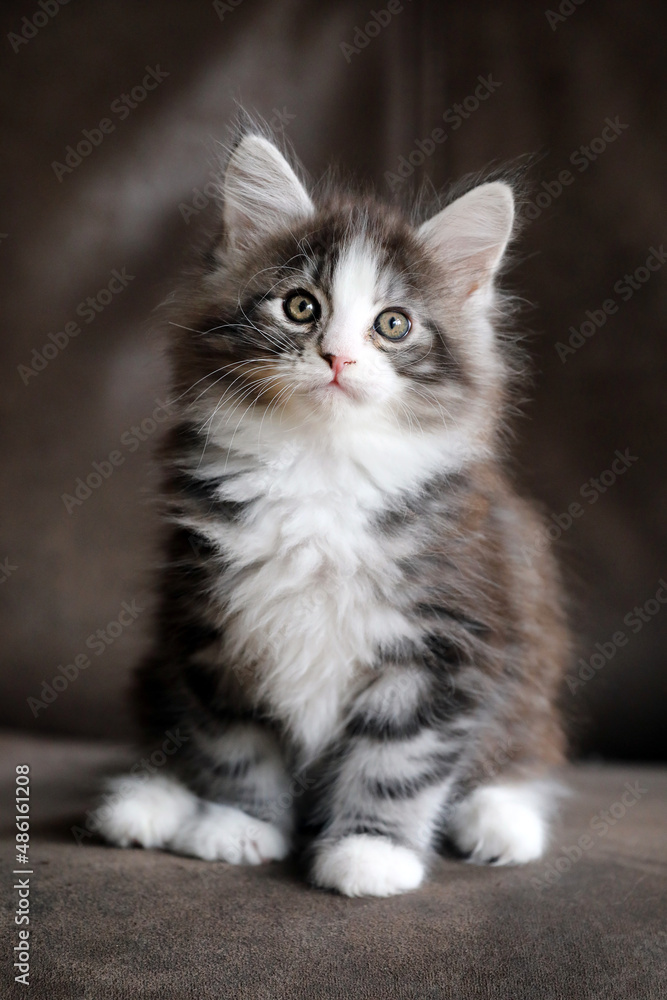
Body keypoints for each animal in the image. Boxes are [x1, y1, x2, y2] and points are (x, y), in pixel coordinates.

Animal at [94, 127, 572, 900]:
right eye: (300, 307)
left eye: (393, 324)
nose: (338, 358)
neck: (320, 467)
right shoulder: (213, 627)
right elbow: (234, 739)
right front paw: (237, 824)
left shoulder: (446, 644)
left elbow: (398, 759)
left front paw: (370, 853)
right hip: (157, 665)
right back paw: (148, 801)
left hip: (528, 680)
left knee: (522, 755)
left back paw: (501, 822)